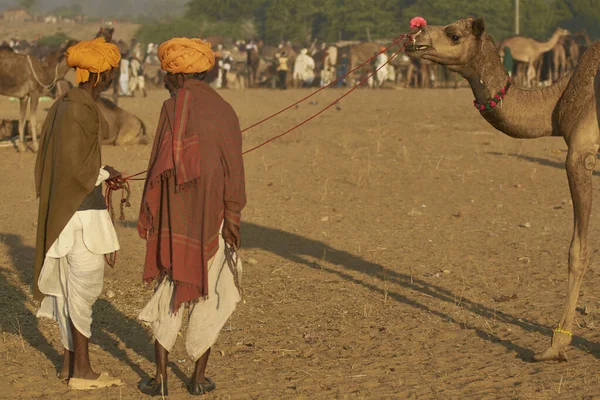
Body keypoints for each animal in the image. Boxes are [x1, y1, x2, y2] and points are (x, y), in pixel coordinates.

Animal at [408, 17, 600, 362]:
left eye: (454, 35)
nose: (414, 37)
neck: (557, 100)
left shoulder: (581, 153)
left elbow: (577, 250)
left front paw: (556, 345)